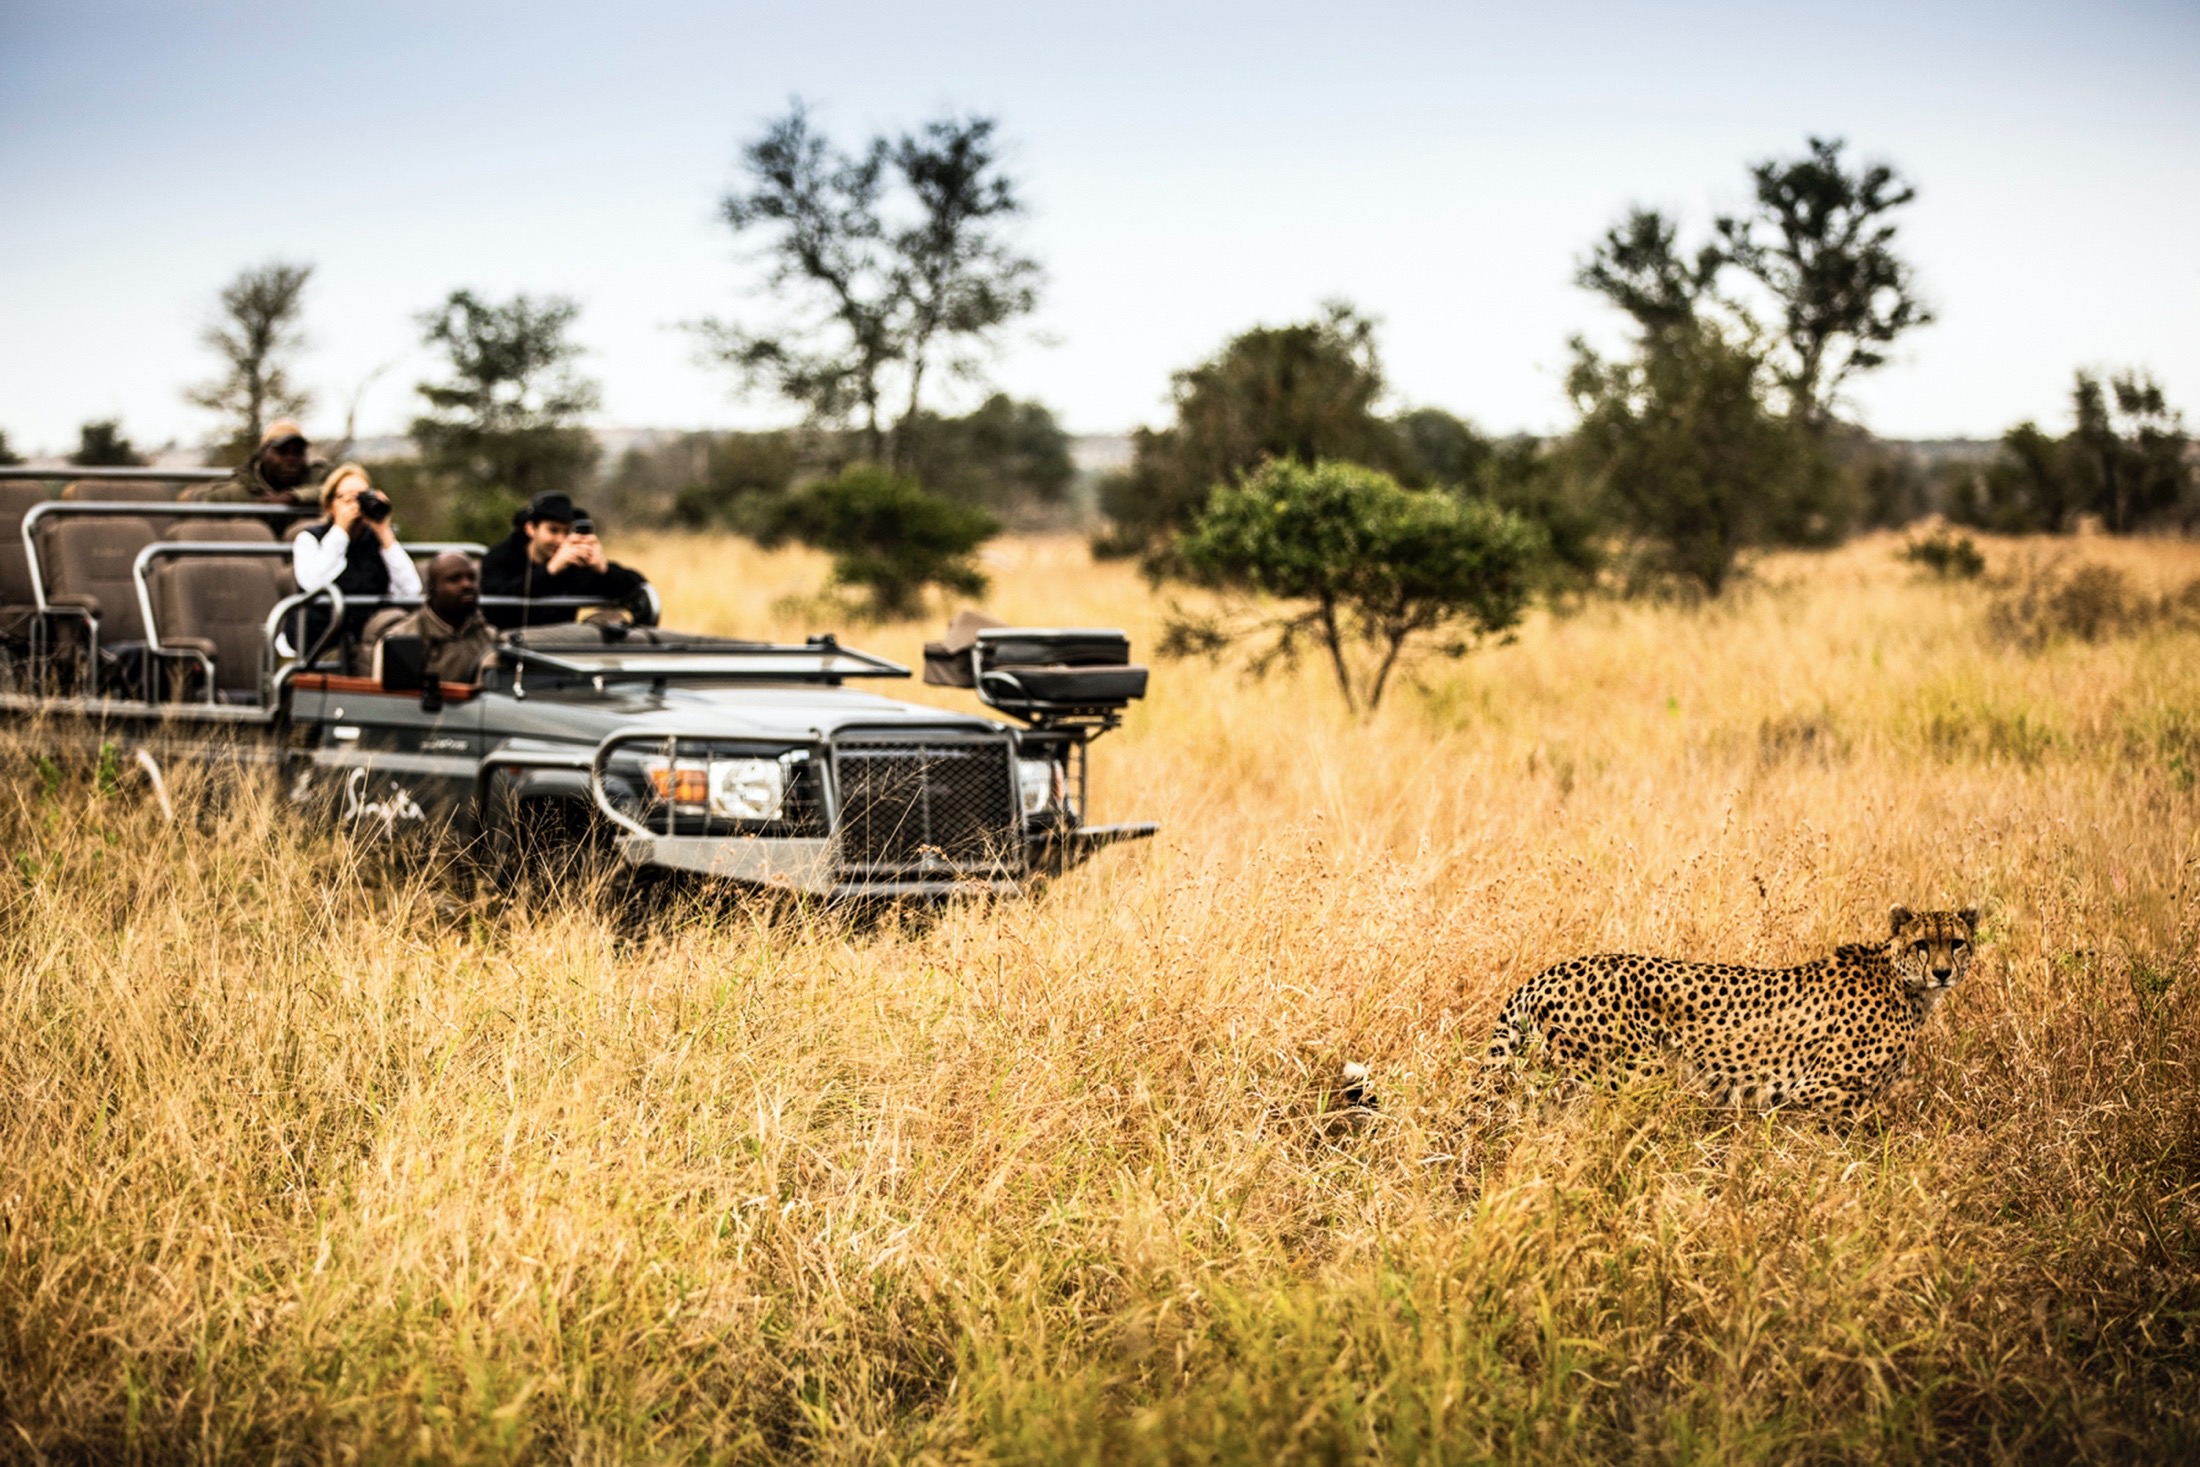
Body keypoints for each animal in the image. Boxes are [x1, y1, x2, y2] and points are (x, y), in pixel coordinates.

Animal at [1487, 906, 1988, 1126]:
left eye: (1956, 942)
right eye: (1922, 943)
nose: (1943, 972)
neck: (1905, 985)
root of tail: (1552, 970)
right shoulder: (1818, 1092)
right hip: (1635, 1077)